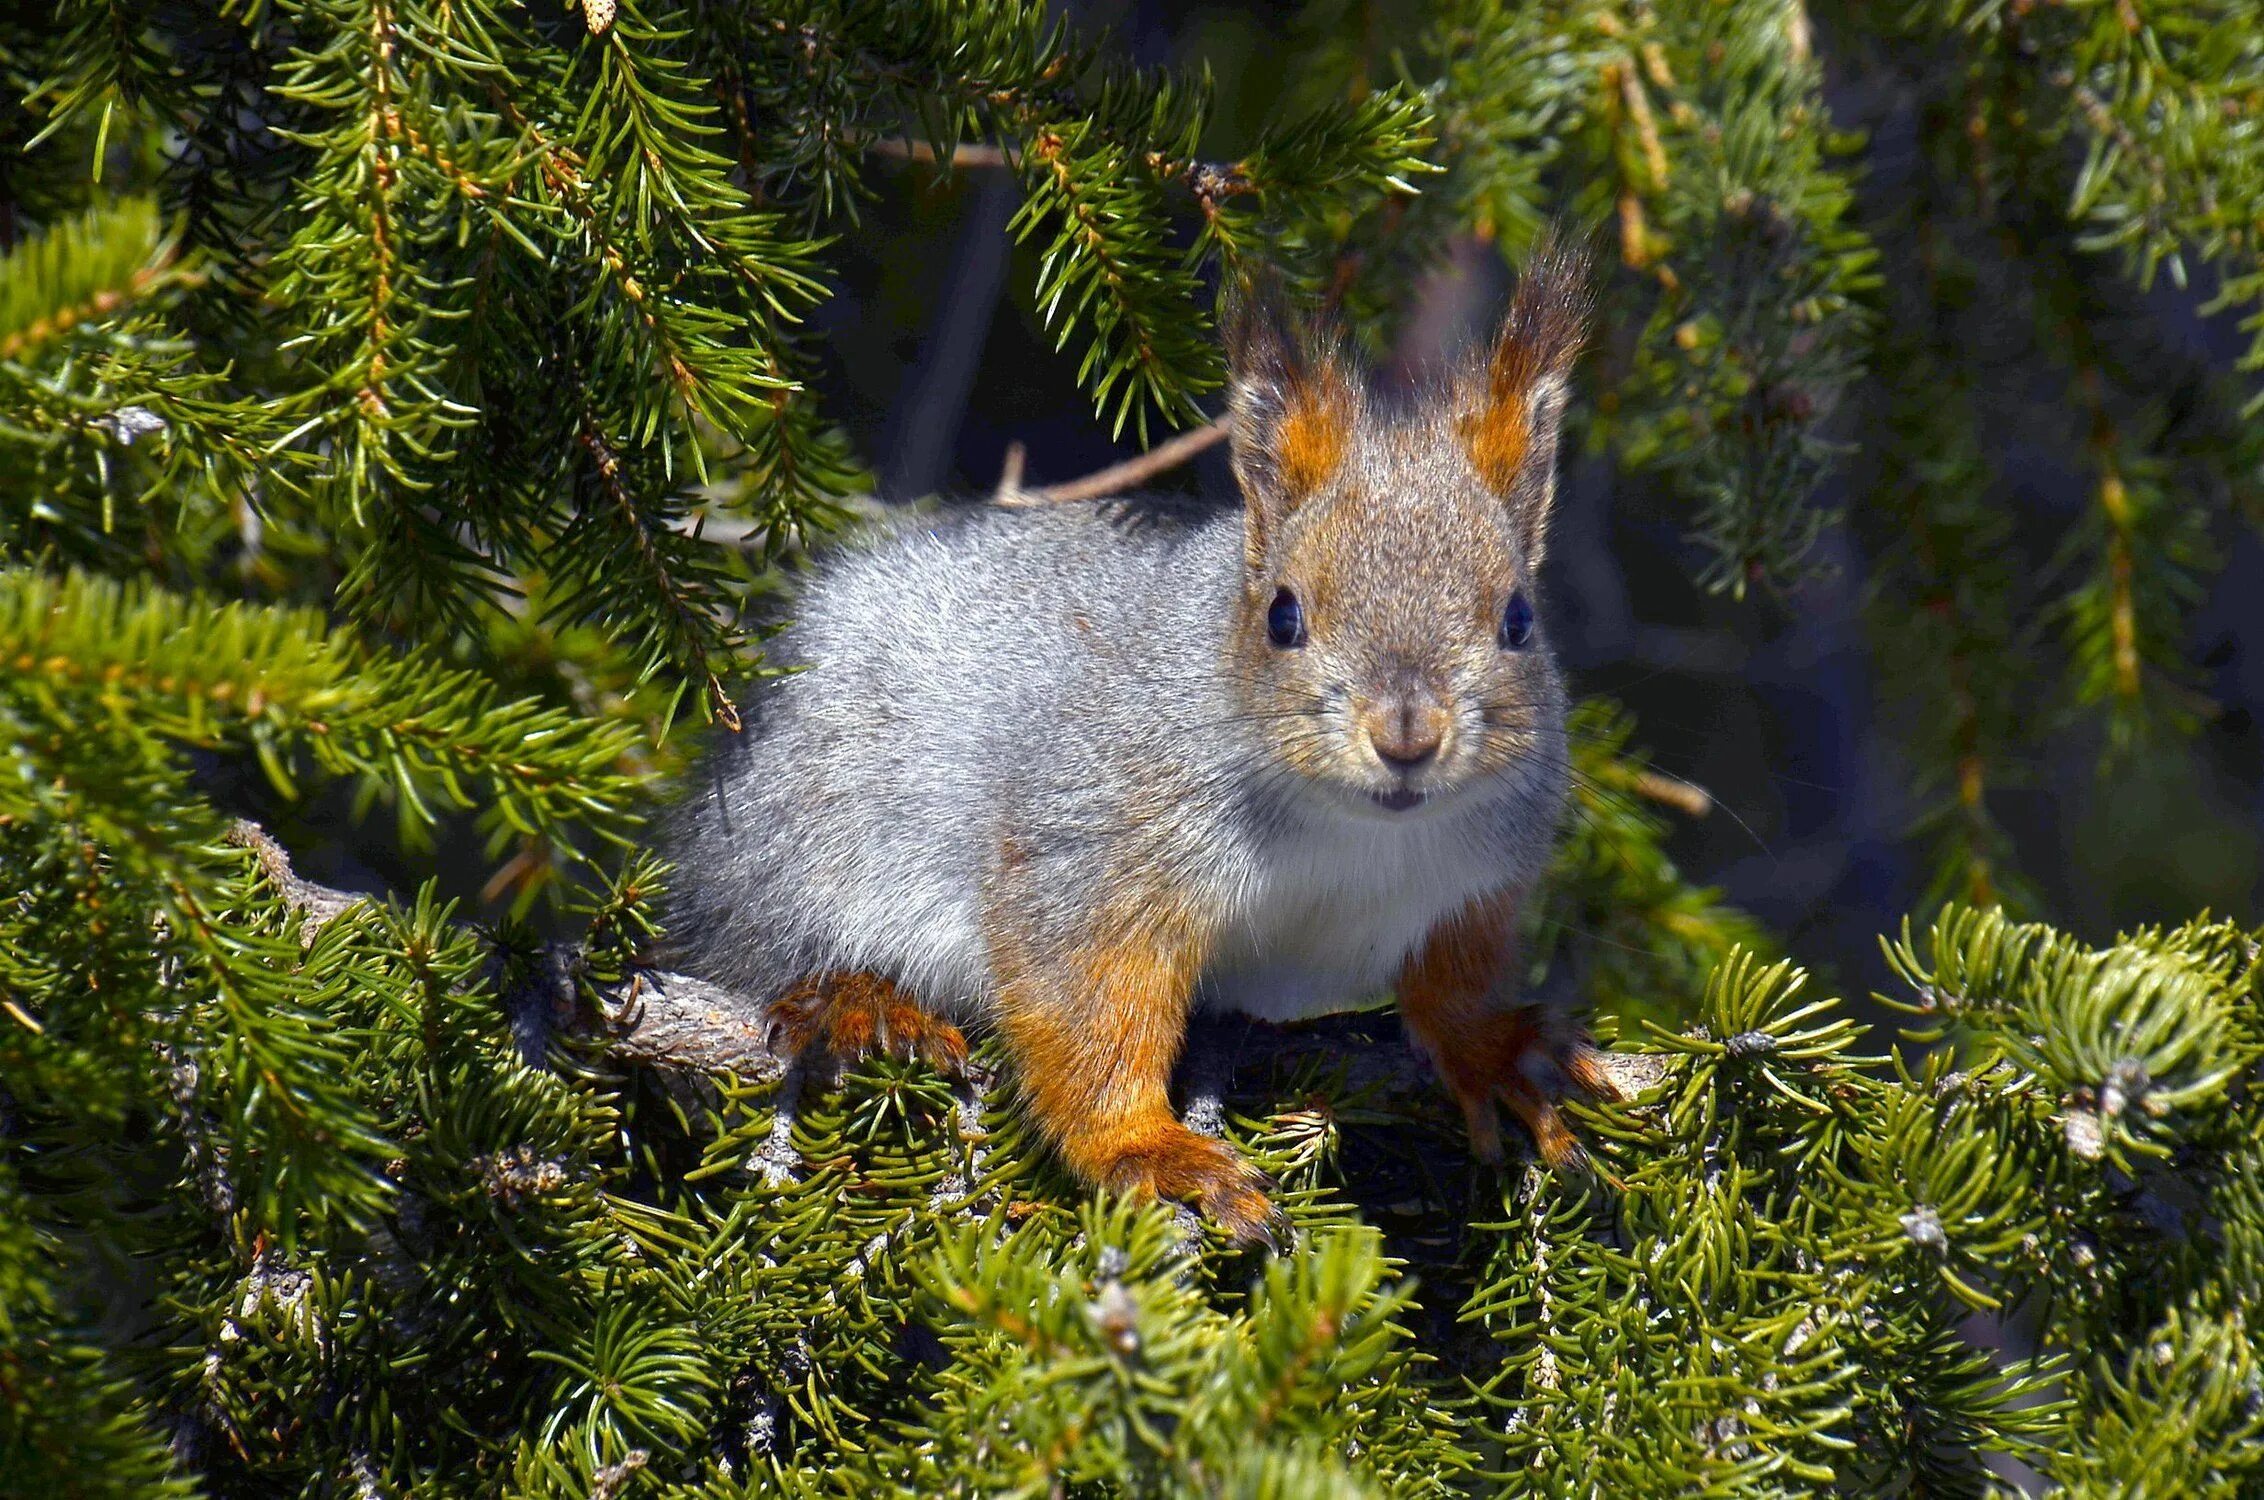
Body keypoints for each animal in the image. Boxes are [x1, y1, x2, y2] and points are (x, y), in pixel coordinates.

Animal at [661, 240, 1621, 1248]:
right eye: (1282, 615)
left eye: (1520, 619)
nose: (1407, 735)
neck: (1356, 832)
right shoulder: (1098, 845)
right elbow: (1086, 1004)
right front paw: (1147, 1151)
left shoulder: (1474, 886)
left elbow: (1451, 987)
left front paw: (1497, 1052)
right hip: (794, 841)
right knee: (754, 955)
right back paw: (857, 1004)